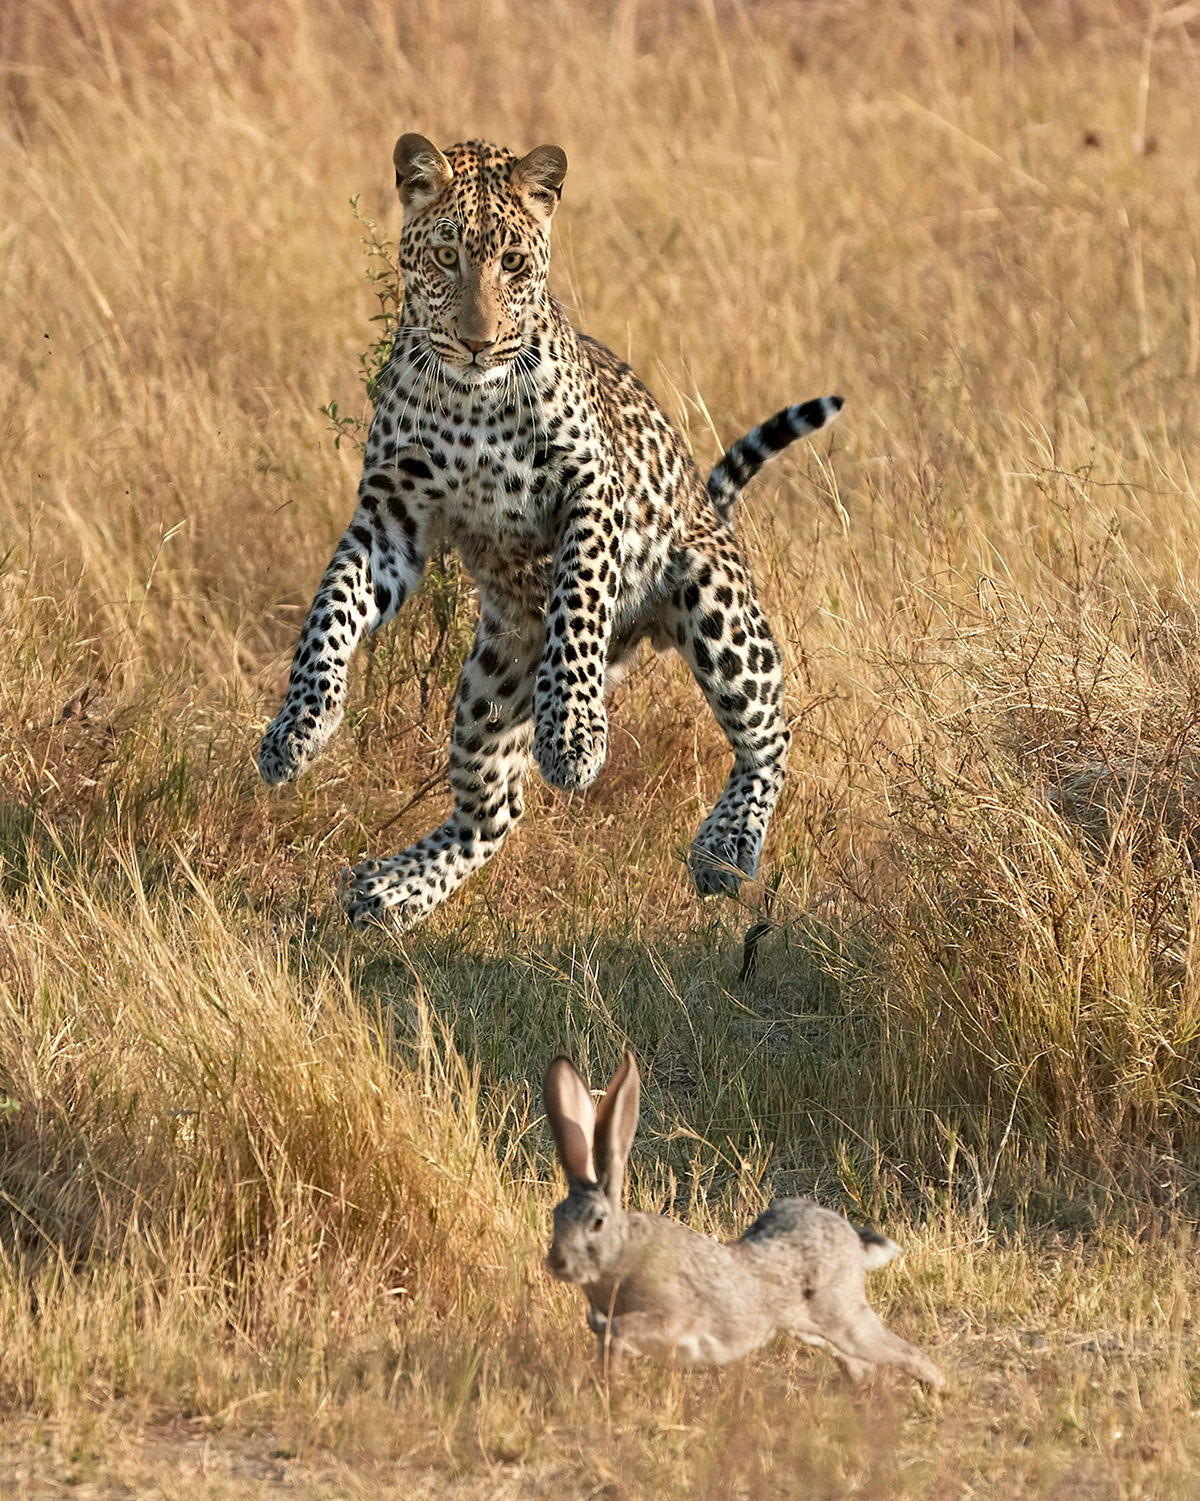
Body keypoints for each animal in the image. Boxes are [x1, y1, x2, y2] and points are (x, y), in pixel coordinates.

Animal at [259, 135, 847, 924]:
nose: (476, 343)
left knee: (770, 732)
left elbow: (578, 599)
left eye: (512, 262)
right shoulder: (389, 516)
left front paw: (572, 734)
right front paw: (297, 728)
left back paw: (725, 847)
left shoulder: (591, 489)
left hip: (714, 602)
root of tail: (706, 502)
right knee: (491, 813)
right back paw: (390, 892)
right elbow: (330, 610)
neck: (470, 397)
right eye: (446, 256)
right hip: (491, 682)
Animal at [543, 1050, 949, 1386]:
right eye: (556, 1215)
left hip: (843, 1317)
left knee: (901, 1351)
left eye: (597, 1221)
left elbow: (622, 1330)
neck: (620, 1253)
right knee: (858, 1363)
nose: (557, 1262)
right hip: (811, 1327)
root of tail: (848, 1236)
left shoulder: (672, 1314)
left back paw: (937, 1390)